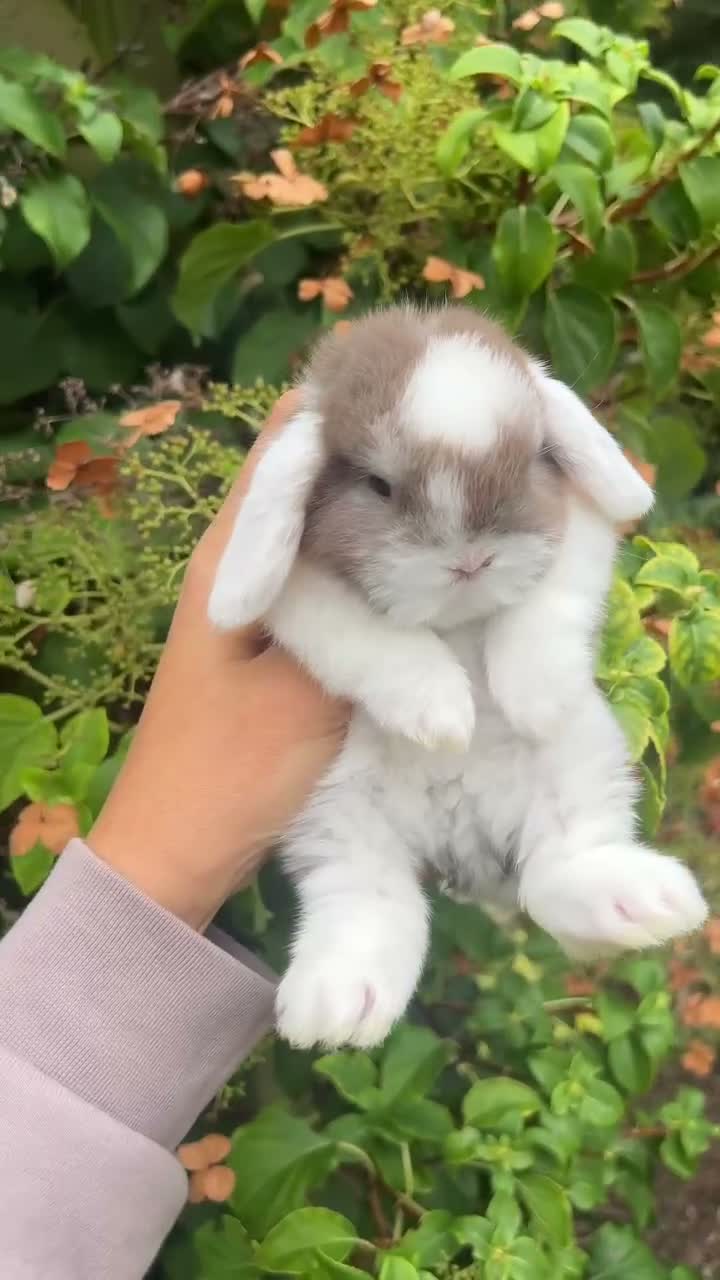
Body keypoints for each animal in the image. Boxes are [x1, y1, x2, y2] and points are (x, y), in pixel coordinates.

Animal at [208, 304, 707, 1050]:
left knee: (555, 872)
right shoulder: (300, 600)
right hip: (335, 815)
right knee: (367, 898)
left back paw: (641, 902)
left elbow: (549, 605)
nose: (471, 561)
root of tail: (460, 834)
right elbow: (373, 641)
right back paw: (337, 1004)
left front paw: (534, 695)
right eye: (378, 486)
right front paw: (442, 713)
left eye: (527, 464)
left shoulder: (580, 533)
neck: (457, 620)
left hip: (580, 763)